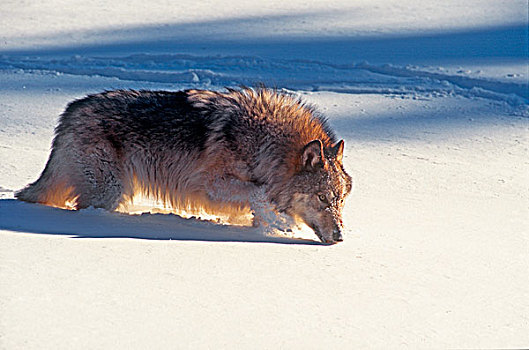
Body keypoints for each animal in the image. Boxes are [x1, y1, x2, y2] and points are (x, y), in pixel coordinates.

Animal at [16, 87, 352, 243]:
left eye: (340, 201)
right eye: (323, 198)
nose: (340, 237)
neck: (265, 144)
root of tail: (70, 111)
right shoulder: (211, 185)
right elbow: (259, 194)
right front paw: (279, 223)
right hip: (109, 191)